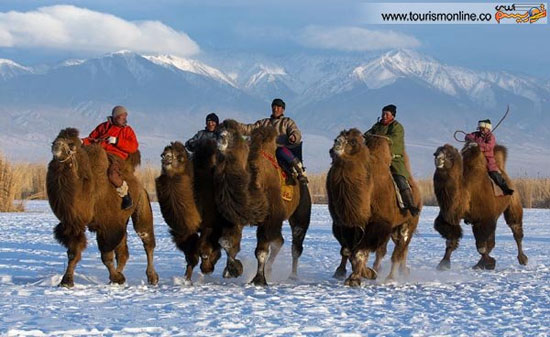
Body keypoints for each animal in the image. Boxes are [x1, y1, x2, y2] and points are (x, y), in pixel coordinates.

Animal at [46, 128, 158, 286]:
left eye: (71, 144)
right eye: (54, 140)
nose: (56, 146)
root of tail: (139, 184)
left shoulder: (108, 224)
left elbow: (106, 256)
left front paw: (116, 278)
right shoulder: (73, 224)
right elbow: (73, 252)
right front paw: (66, 281)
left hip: (142, 203)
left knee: (146, 239)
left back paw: (152, 277)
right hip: (122, 220)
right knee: (123, 252)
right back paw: (120, 273)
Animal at [328, 129, 422, 286]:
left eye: (353, 141)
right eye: (336, 137)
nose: (336, 144)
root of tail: (418, 194)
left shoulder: (377, 223)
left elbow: (359, 252)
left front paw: (356, 278)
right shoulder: (346, 224)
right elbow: (347, 251)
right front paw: (364, 273)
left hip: (408, 223)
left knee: (398, 250)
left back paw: (391, 277)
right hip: (394, 229)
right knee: (394, 250)